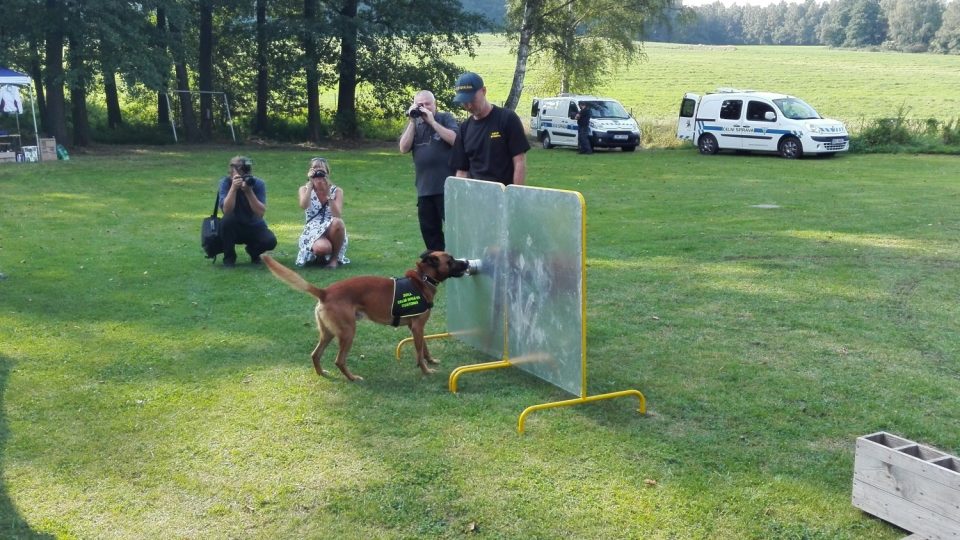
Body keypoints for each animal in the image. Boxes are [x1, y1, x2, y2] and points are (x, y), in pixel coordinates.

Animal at [260, 252, 470, 382]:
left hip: (328, 333)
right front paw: (426, 370)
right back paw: (353, 378)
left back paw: (322, 374)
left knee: (315, 354)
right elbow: (419, 353)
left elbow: (424, 347)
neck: (422, 280)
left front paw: (431, 361)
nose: (467, 262)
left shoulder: (416, 328)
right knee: (339, 360)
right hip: (348, 332)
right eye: (450, 260)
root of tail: (325, 292)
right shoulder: (418, 328)